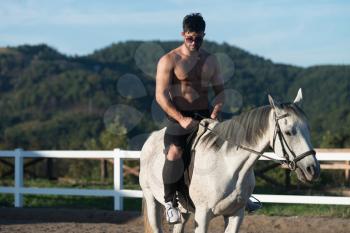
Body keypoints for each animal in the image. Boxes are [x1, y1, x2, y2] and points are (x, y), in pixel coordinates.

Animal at [139, 88, 320, 232]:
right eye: (289, 132)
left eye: (308, 129)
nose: (312, 169)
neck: (228, 166)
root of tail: (150, 139)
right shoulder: (203, 216)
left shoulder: (235, 215)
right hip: (152, 201)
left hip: (184, 212)